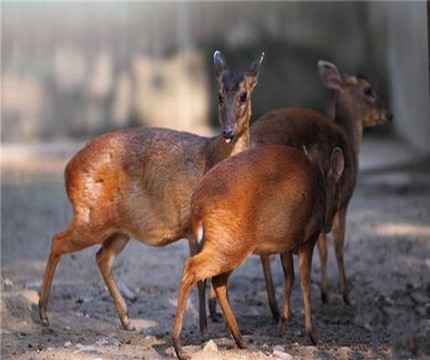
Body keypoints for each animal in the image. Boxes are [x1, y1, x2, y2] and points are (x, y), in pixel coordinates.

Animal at [38, 50, 264, 332]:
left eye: (244, 95)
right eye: (219, 96)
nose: (228, 131)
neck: (213, 158)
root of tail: (67, 170)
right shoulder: (193, 226)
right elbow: (201, 278)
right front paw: (203, 328)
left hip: (120, 229)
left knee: (102, 256)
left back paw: (126, 319)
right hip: (90, 217)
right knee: (58, 241)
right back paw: (43, 313)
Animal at [245, 60, 394, 322]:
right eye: (368, 90)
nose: (389, 114)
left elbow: (323, 247)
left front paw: (325, 294)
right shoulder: (343, 199)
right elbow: (338, 246)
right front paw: (345, 296)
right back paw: (276, 308)